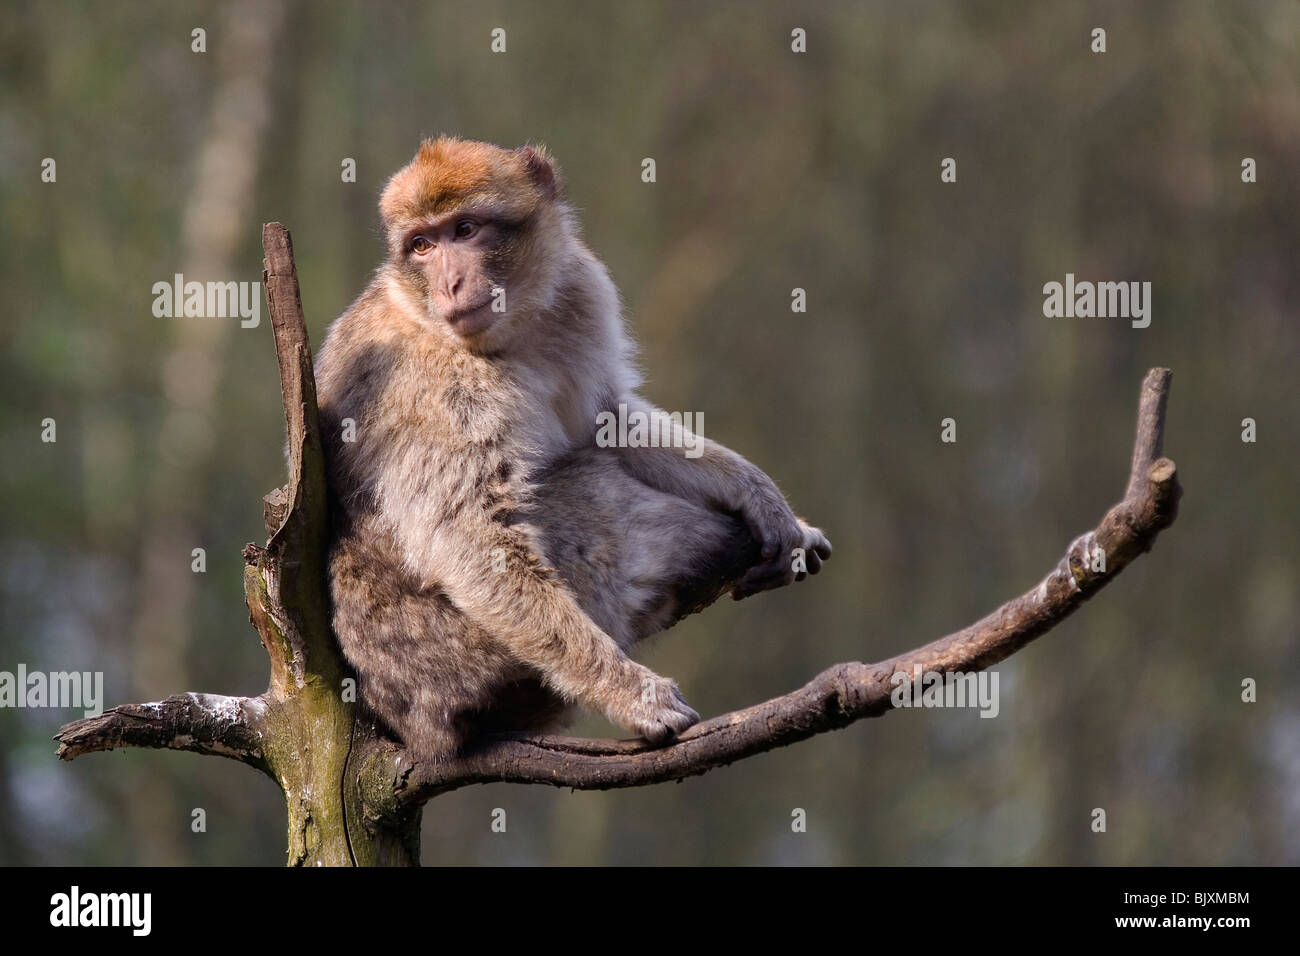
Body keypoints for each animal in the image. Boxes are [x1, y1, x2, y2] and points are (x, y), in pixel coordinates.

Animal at [312, 136, 832, 764]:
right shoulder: (430, 386)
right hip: (450, 658)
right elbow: (470, 538)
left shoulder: (581, 292)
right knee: (593, 489)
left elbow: (609, 421)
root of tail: (406, 725)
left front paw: (760, 496)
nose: (449, 286)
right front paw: (625, 689)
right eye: (421, 246)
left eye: (464, 230)